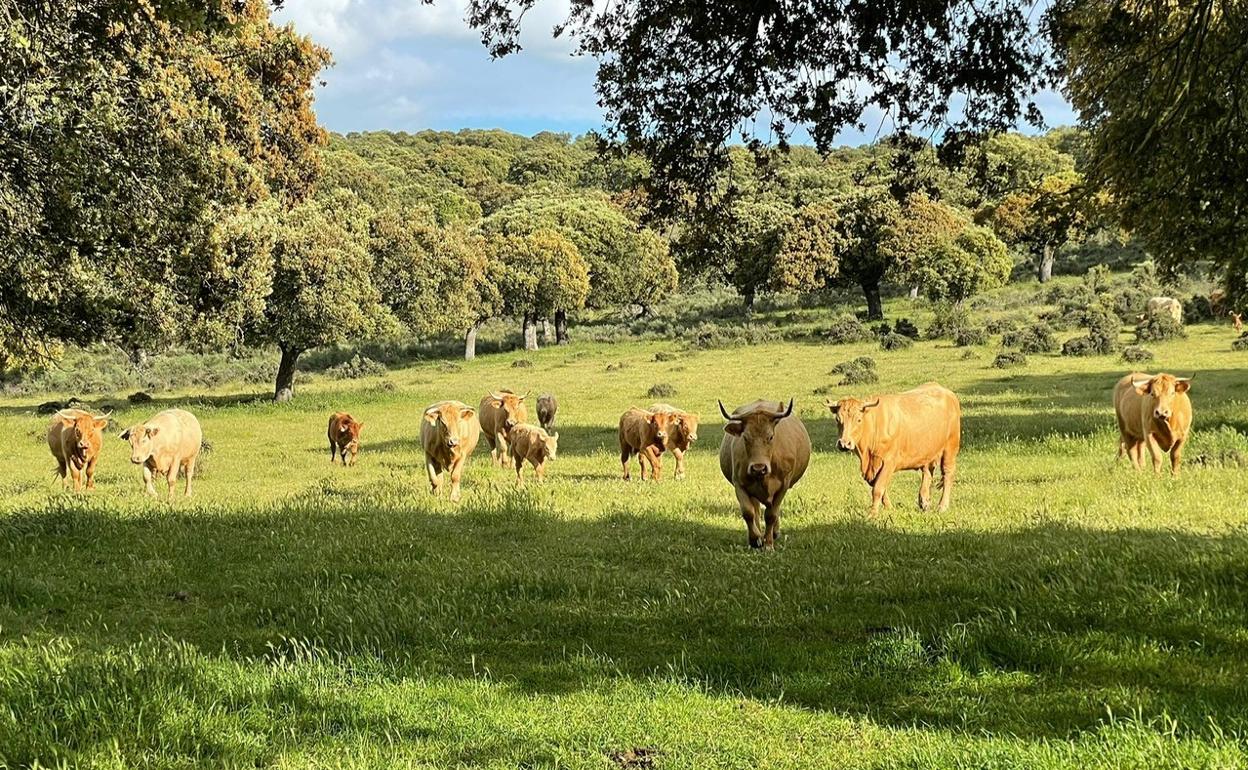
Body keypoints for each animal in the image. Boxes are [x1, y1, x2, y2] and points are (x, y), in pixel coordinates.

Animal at [718, 399, 813, 549]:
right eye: (745, 437)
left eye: (771, 437)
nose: (758, 468)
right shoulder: (739, 484)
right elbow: (748, 512)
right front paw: (755, 539)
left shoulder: (783, 486)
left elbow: (771, 515)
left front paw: (768, 544)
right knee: (756, 510)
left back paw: (774, 533)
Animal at [828, 379, 963, 514]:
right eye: (837, 419)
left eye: (859, 420)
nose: (844, 443)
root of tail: (947, 392)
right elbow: (880, 488)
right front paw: (889, 508)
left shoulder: (889, 462)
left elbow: (878, 488)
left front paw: (872, 514)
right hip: (927, 450)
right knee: (927, 472)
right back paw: (924, 502)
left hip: (950, 447)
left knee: (948, 473)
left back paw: (942, 506)